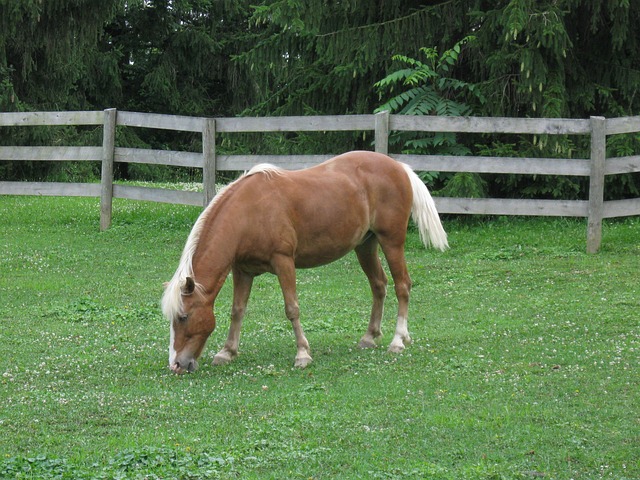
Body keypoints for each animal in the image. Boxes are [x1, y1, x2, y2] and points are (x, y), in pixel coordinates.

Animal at [162, 152, 448, 374]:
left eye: (184, 316)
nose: (176, 364)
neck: (249, 212)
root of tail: (399, 167)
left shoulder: (283, 262)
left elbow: (292, 309)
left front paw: (302, 354)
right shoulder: (243, 270)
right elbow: (237, 310)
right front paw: (227, 351)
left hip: (392, 242)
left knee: (402, 286)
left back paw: (398, 340)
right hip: (365, 246)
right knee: (379, 285)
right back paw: (370, 337)